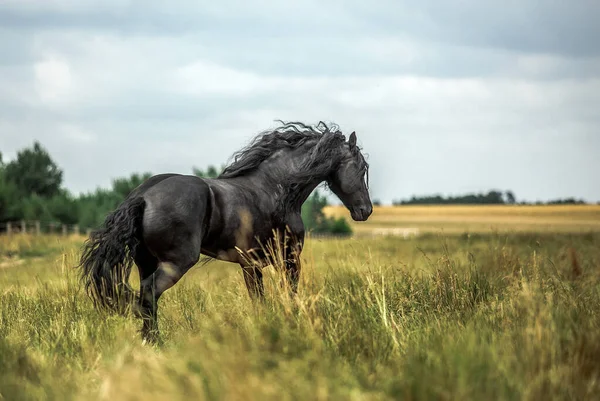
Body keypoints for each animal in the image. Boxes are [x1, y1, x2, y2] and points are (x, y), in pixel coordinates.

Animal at [77, 119, 372, 340]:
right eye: (360, 168)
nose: (365, 210)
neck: (275, 190)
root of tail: (143, 196)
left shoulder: (253, 264)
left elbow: (262, 300)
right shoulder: (285, 259)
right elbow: (287, 296)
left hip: (145, 262)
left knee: (146, 300)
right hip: (176, 263)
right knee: (149, 294)